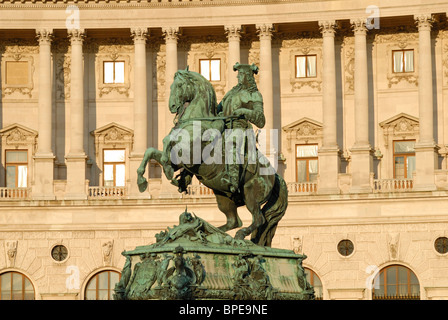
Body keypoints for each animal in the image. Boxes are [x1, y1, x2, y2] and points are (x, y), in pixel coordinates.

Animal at [136, 67, 288, 248]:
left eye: (179, 85)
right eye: (170, 86)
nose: (172, 106)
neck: (198, 120)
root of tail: (275, 175)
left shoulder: (189, 153)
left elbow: (168, 142)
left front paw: (165, 169)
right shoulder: (179, 161)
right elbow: (151, 151)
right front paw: (142, 181)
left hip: (251, 194)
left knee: (258, 219)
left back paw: (234, 235)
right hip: (223, 197)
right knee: (234, 221)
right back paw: (211, 232)